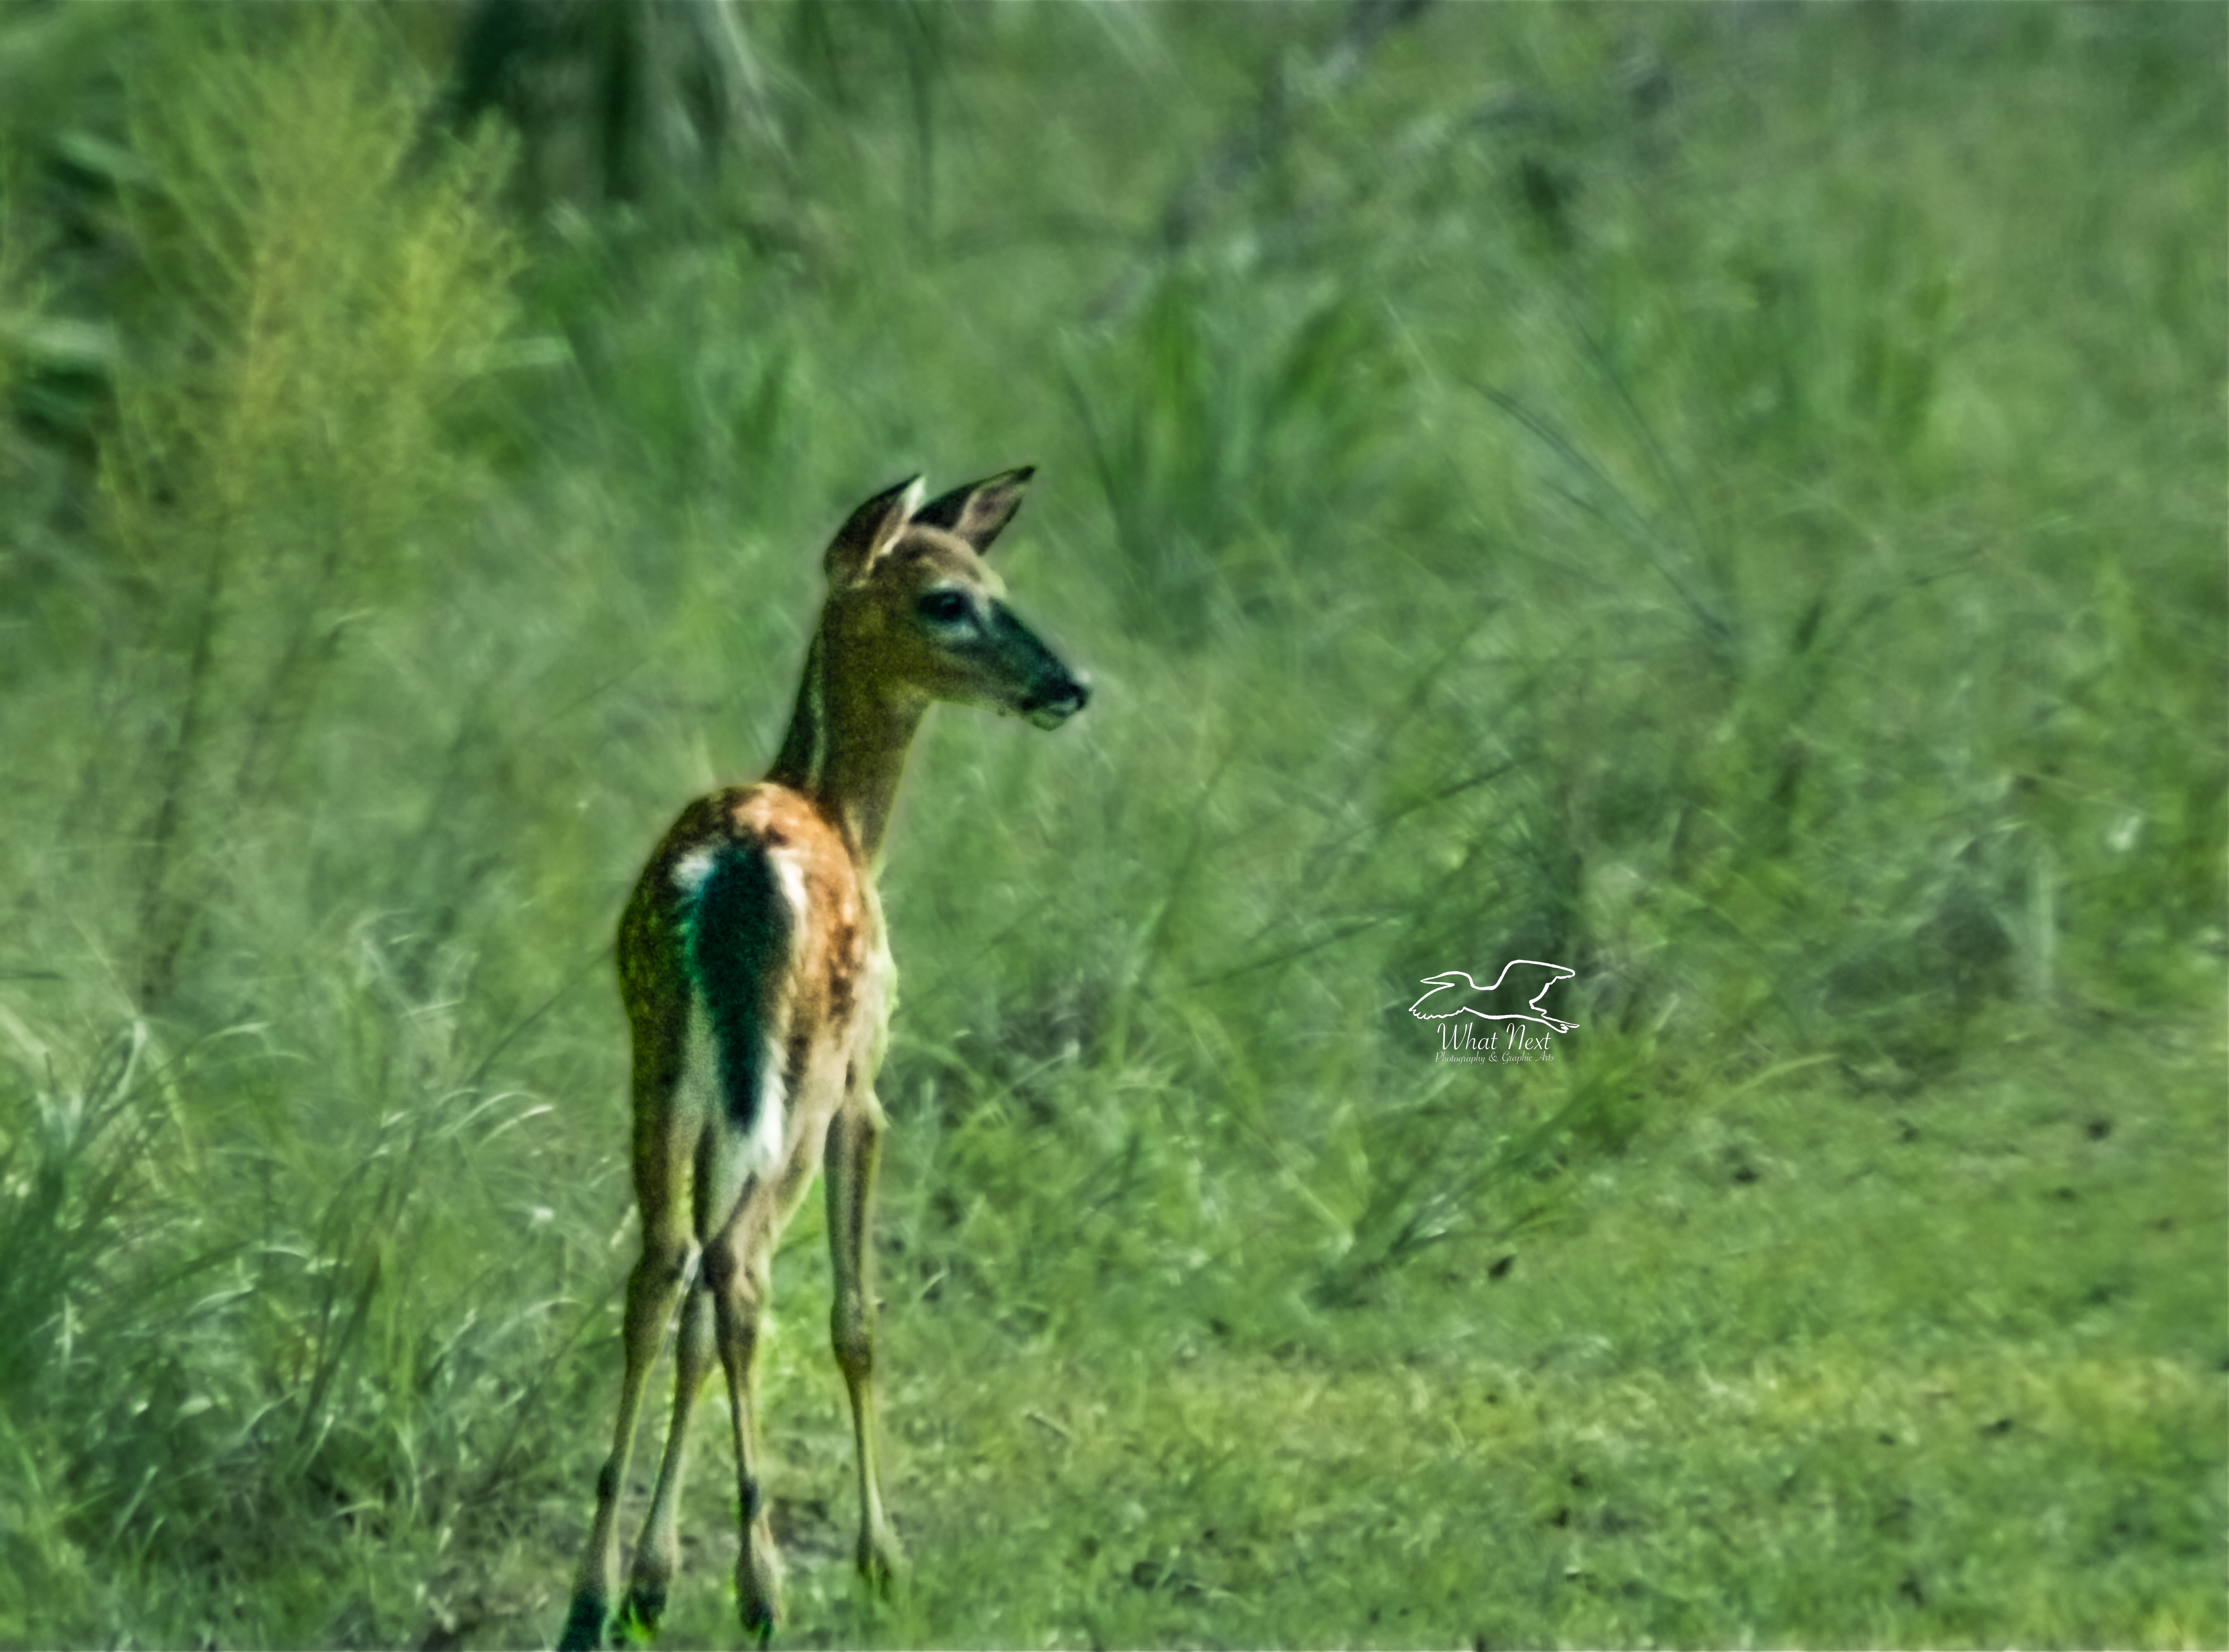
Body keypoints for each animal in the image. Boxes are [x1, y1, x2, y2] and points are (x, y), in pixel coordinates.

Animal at [557, 468, 1088, 1650]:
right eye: (948, 599)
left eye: (995, 582)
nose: (1068, 685)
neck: (847, 815)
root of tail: (739, 864)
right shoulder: (863, 1087)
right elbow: (858, 1321)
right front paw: (881, 1561)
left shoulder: (723, 1098)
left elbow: (693, 1325)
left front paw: (655, 1575)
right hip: (798, 1075)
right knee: (741, 1266)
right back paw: (763, 1588)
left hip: (659, 1056)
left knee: (664, 1265)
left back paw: (594, 1592)